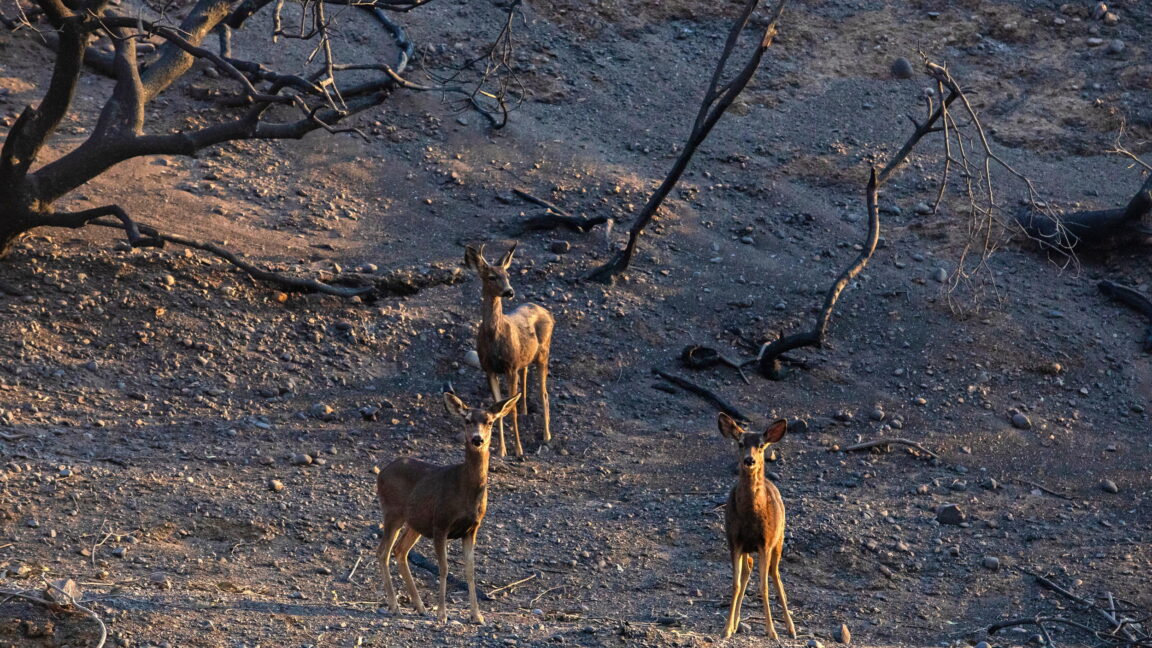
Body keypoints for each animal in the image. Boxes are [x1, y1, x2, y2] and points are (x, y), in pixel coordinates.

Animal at [375, 387, 520, 622]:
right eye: (467, 420)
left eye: (489, 422)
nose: (477, 439)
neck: (465, 491)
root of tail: (382, 472)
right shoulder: (441, 523)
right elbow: (443, 568)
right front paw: (442, 614)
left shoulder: (472, 528)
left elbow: (470, 570)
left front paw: (477, 615)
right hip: (392, 512)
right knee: (383, 552)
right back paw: (395, 605)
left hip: (415, 522)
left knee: (400, 550)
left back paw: (420, 606)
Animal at [467, 239, 557, 456]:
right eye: (492, 276)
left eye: (508, 275)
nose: (509, 291)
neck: (494, 337)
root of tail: (549, 313)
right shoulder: (489, 369)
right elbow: (497, 410)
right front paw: (501, 450)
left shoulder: (510, 367)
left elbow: (510, 409)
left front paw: (518, 449)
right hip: (525, 358)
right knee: (526, 376)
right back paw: (526, 412)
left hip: (544, 353)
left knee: (544, 393)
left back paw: (546, 435)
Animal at [714, 410, 797, 636]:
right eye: (740, 443)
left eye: (761, 445)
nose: (749, 460)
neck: (750, 515)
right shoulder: (734, 541)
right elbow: (735, 584)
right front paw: (726, 629)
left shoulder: (765, 542)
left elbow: (764, 586)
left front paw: (772, 631)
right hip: (747, 548)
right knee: (748, 570)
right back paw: (735, 623)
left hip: (779, 539)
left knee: (775, 574)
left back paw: (791, 628)